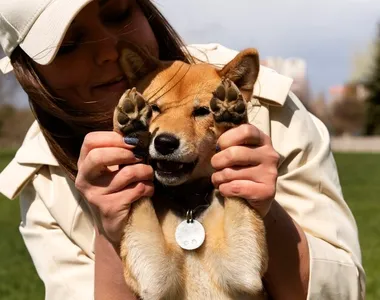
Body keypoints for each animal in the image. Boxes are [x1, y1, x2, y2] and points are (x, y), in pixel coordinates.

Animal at [112, 42, 268, 300]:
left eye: (203, 111)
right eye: (154, 109)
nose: (164, 143)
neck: (189, 206)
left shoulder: (243, 269)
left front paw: (230, 116)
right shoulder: (153, 276)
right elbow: (140, 201)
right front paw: (133, 123)